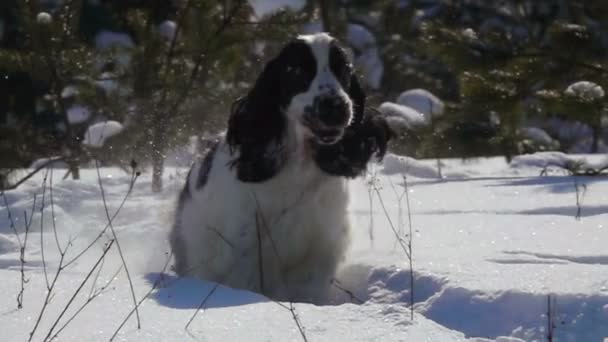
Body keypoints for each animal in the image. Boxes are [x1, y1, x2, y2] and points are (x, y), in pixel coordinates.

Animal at [169, 33, 392, 304]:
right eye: (297, 70)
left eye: (343, 70)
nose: (336, 106)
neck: (299, 166)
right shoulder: (245, 248)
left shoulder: (320, 248)